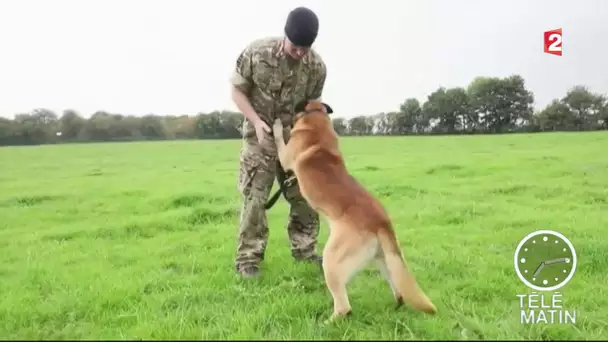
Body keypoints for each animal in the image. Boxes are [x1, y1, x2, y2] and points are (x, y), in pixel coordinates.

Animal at [272, 100, 436, 322]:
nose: (284, 113)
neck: (316, 116)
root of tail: (382, 222)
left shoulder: (286, 157)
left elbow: (279, 141)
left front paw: (276, 126)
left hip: (332, 259)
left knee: (344, 306)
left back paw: (327, 322)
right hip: (384, 258)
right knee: (398, 288)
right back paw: (396, 305)